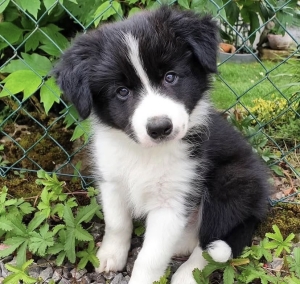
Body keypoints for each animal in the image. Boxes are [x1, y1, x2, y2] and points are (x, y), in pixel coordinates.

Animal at [53, 6, 270, 284]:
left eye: (170, 77)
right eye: (121, 91)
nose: (159, 128)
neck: (144, 153)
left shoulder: (172, 200)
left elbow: (150, 257)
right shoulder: (112, 181)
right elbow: (117, 223)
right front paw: (110, 256)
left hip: (232, 182)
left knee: (209, 244)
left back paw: (188, 274)